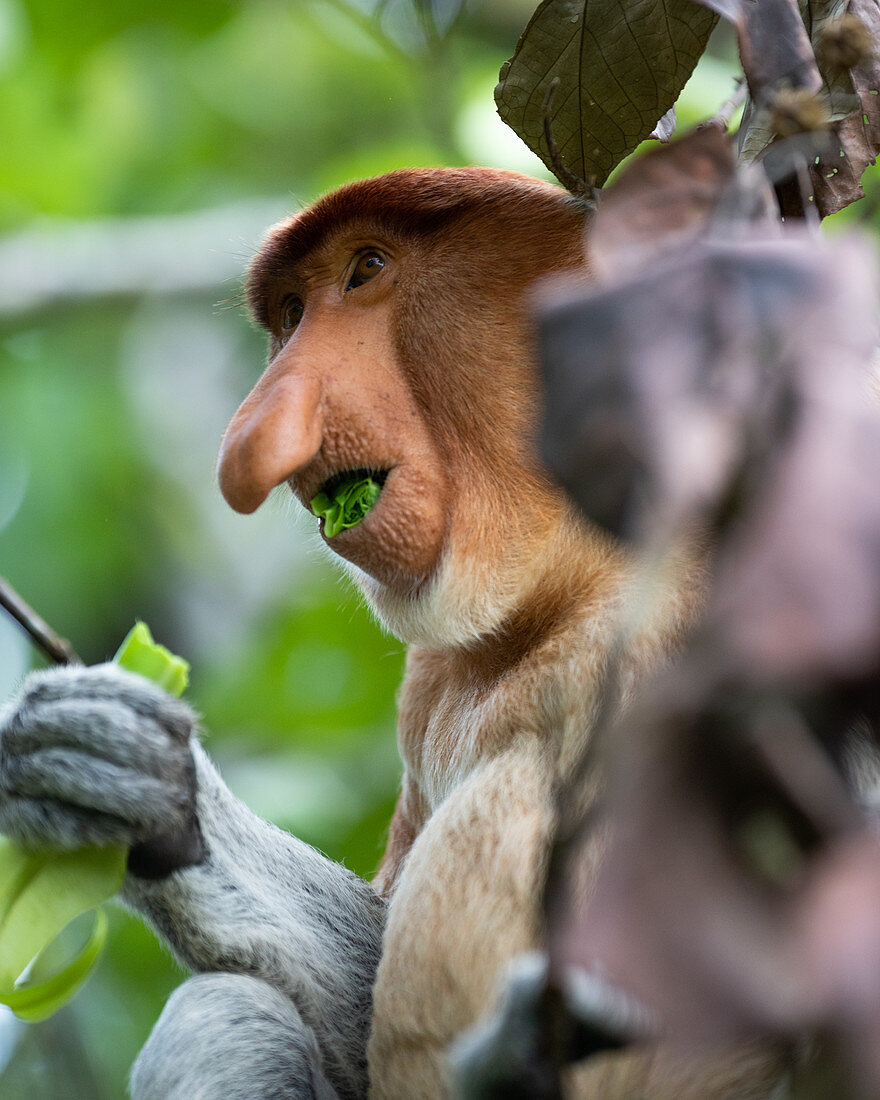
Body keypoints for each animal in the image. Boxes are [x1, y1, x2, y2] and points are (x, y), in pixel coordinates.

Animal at [1, 167, 778, 1095]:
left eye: (366, 269)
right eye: (291, 312)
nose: (253, 437)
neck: (577, 589)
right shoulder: (431, 680)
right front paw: (125, 776)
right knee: (229, 1012)